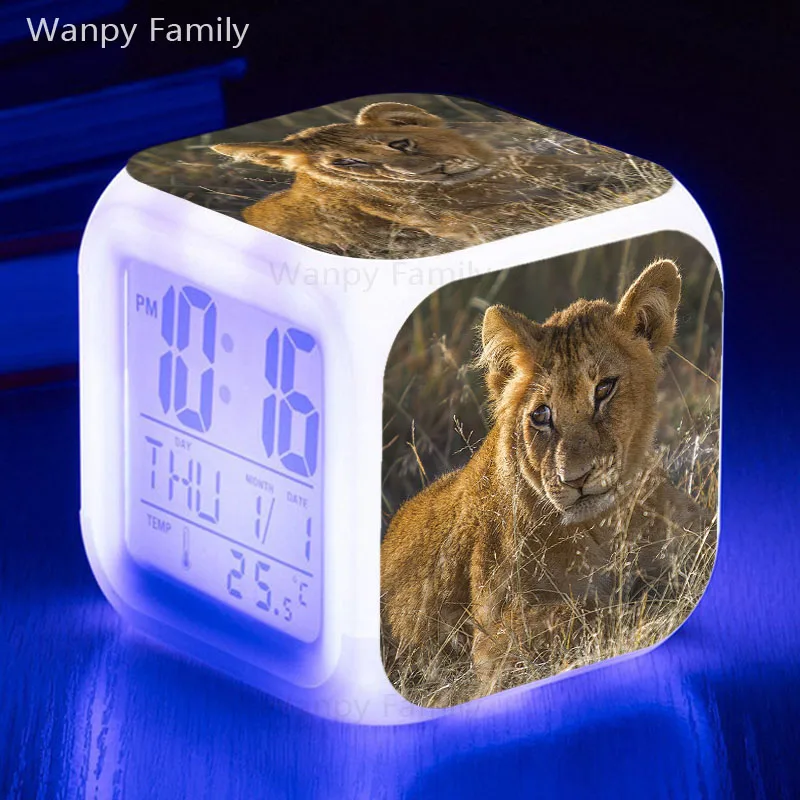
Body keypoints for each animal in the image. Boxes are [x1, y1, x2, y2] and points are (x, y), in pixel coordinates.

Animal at [380, 259, 714, 702]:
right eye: (541, 415)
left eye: (604, 389)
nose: (576, 478)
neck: (608, 528)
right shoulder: (494, 643)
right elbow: (587, 612)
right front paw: (641, 604)